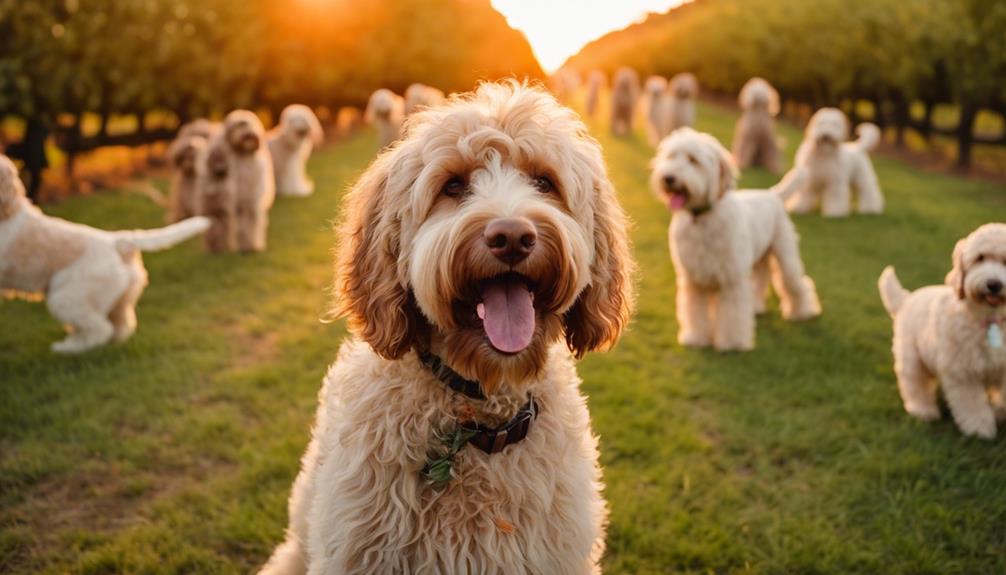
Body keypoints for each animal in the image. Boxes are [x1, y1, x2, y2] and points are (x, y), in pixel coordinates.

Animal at [0, 153, 208, 349]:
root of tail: (117, 241)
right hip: (117, 299)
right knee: (119, 327)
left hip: (66, 298)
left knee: (101, 329)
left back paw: (70, 349)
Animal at [224, 109, 275, 250]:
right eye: (238, 125)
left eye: (248, 123)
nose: (248, 135)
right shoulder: (237, 204)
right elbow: (239, 228)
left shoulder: (253, 202)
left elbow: (252, 224)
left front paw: (251, 246)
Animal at [651, 128, 824, 349]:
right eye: (671, 156)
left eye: (693, 160)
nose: (668, 178)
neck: (702, 219)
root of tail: (772, 194)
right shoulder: (694, 280)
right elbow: (695, 312)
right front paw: (696, 338)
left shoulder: (731, 278)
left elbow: (731, 314)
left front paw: (732, 343)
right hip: (759, 258)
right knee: (761, 279)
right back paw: (757, 306)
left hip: (785, 256)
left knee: (795, 283)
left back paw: (801, 312)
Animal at [881, 222, 1006, 438]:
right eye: (980, 258)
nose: (994, 284)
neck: (990, 318)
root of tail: (907, 298)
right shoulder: (962, 372)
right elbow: (972, 404)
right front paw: (980, 429)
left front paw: (998, 414)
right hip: (912, 357)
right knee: (915, 383)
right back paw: (923, 410)